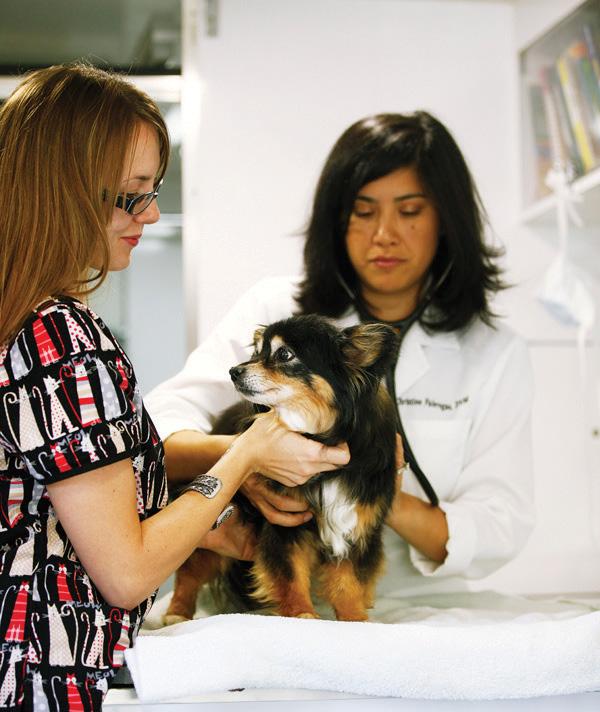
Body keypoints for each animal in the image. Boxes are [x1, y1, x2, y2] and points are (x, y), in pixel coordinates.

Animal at [164, 314, 399, 623]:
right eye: (257, 353)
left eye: (284, 354)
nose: (234, 371)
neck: (318, 433)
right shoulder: (285, 524)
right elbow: (290, 573)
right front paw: (301, 613)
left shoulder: (355, 522)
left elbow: (349, 581)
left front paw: (354, 619)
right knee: (191, 569)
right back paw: (177, 612)